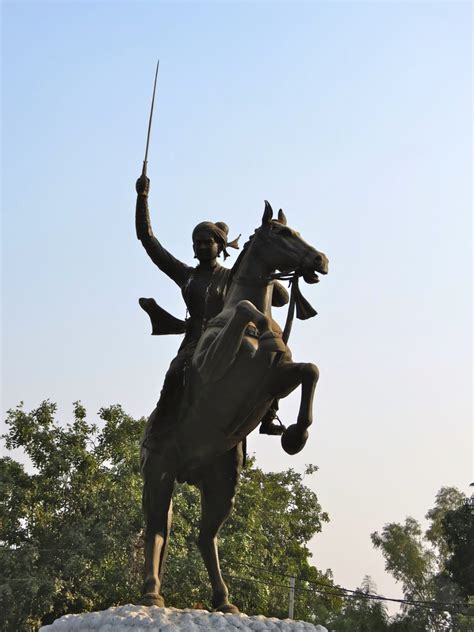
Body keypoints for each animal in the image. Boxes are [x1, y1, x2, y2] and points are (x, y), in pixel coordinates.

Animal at [139, 202, 328, 612]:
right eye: (281, 234)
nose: (320, 260)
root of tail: (187, 473)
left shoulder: (273, 381)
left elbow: (310, 370)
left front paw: (295, 435)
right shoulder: (213, 367)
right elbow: (243, 306)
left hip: (223, 484)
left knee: (205, 537)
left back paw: (224, 600)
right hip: (159, 473)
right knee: (156, 529)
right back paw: (151, 593)